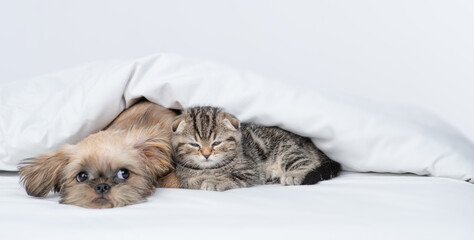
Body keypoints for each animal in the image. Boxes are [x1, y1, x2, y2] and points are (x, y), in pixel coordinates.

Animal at [170, 107, 340, 191]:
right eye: (194, 144)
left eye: (216, 143)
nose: (206, 154)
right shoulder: (183, 174)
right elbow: (190, 180)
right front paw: (202, 179)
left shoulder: (250, 170)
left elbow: (230, 176)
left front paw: (215, 181)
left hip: (287, 149)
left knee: (308, 161)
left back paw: (295, 174)